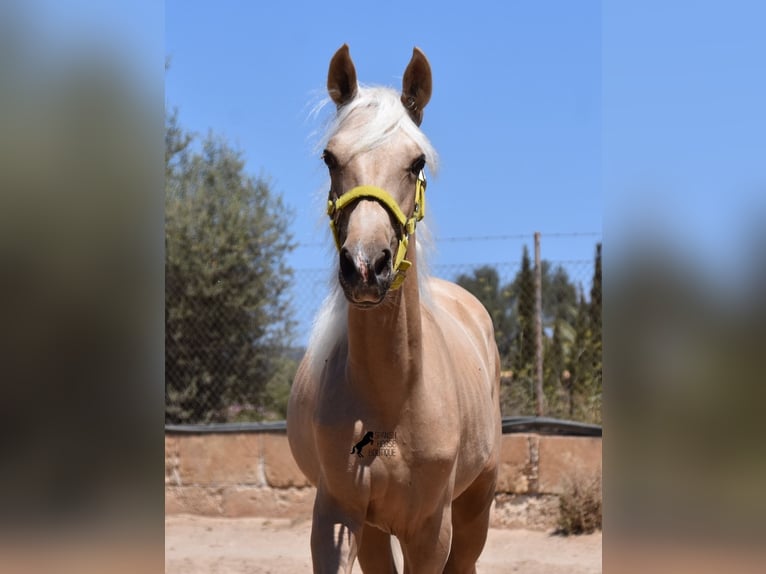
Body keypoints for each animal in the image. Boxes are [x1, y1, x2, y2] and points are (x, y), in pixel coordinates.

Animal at [288, 46, 504, 574]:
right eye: (330, 158)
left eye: (416, 161)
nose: (367, 266)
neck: (394, 397)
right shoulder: (337, 517)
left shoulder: (429, 530)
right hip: (371, 528)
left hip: (476, 505)